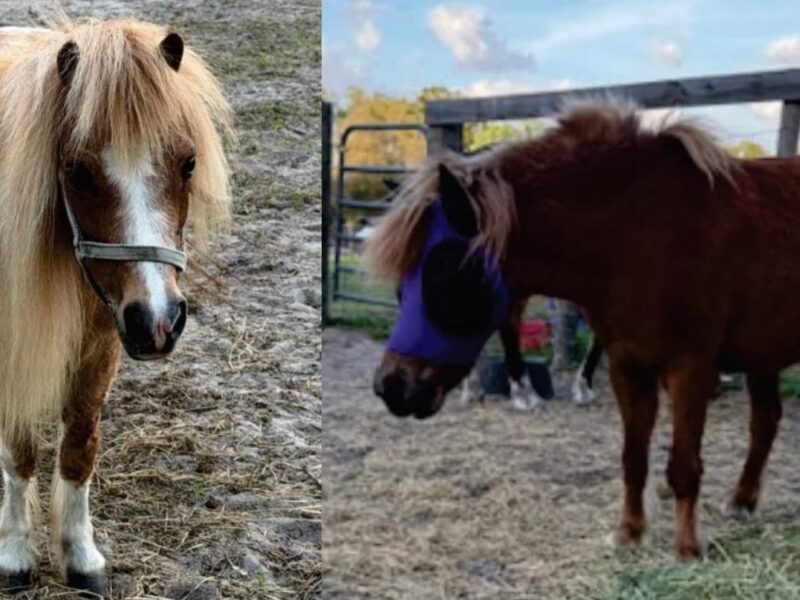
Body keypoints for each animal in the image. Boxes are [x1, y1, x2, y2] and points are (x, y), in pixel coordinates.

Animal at [0, 18, 230, 594]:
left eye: (188, 163)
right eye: (76, 171)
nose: (159, 321)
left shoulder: (102, 340)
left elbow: (80, 446)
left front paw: (80, 555)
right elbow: (18, 449)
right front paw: (14, 553)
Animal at [367, 97, 798, 560]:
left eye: (447, 277)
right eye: (401, 285)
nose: (392, 387)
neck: (644, 231)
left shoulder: (690, 369)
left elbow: (684, 464)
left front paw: (686, 549)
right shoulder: (628, 366)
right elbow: (633, 457)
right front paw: (629, 532)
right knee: (766, 419)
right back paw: (743, 500)